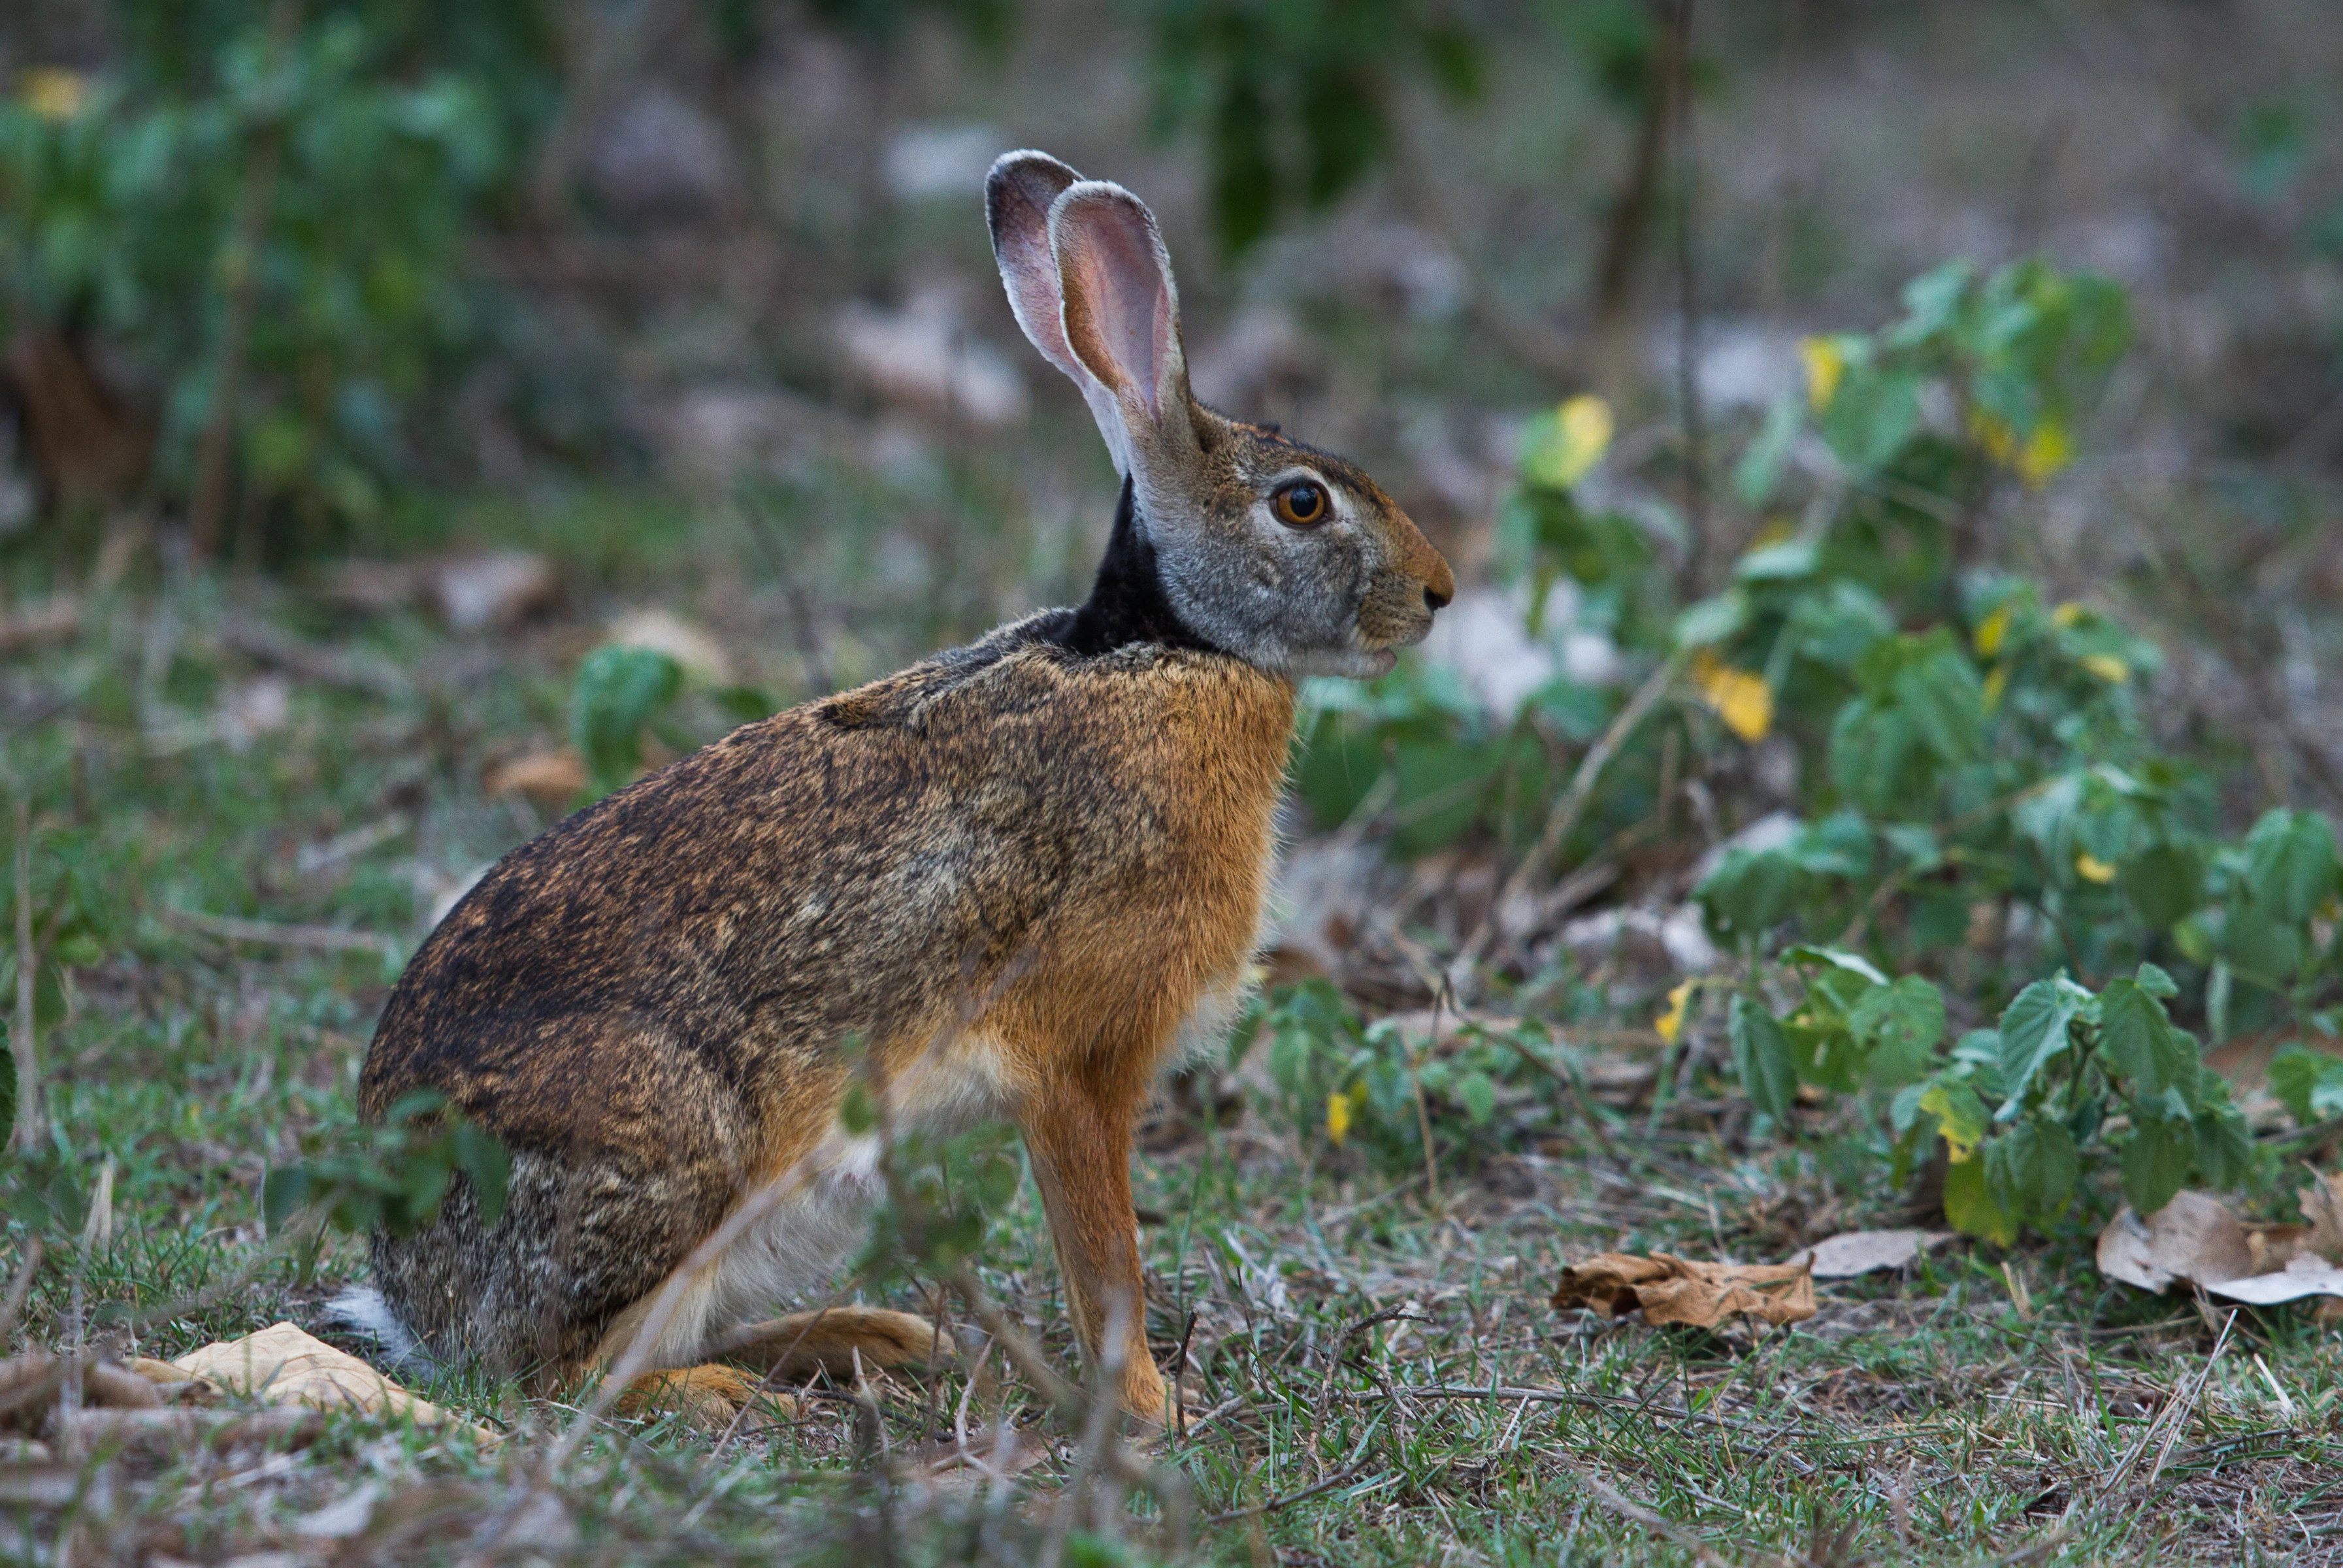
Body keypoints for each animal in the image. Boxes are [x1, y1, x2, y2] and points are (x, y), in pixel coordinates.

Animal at [340, 150, 1453, 1428]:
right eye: (1302, 503)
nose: (1439, 593)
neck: (1165, 646)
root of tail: (412, 1295)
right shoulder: (1078, 1064)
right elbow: (1102, 1257)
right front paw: (1145, 1408)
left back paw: (871, 1337)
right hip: (678, 1153)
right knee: (560, 1378)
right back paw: (735, 1395)